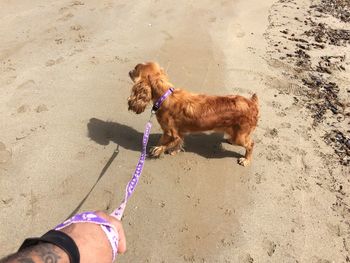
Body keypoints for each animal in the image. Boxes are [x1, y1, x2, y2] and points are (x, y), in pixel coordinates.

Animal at [127, 61, 258, 167]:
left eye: (136, 68)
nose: (129, 71)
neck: (165, 96)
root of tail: (252, 104)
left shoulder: (171, 132)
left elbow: (164, 143)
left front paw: (158, 150)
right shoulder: (176, 132)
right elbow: (173, 141)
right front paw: (174, 150)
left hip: (239, 137)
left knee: (250, 144)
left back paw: (246, 160)